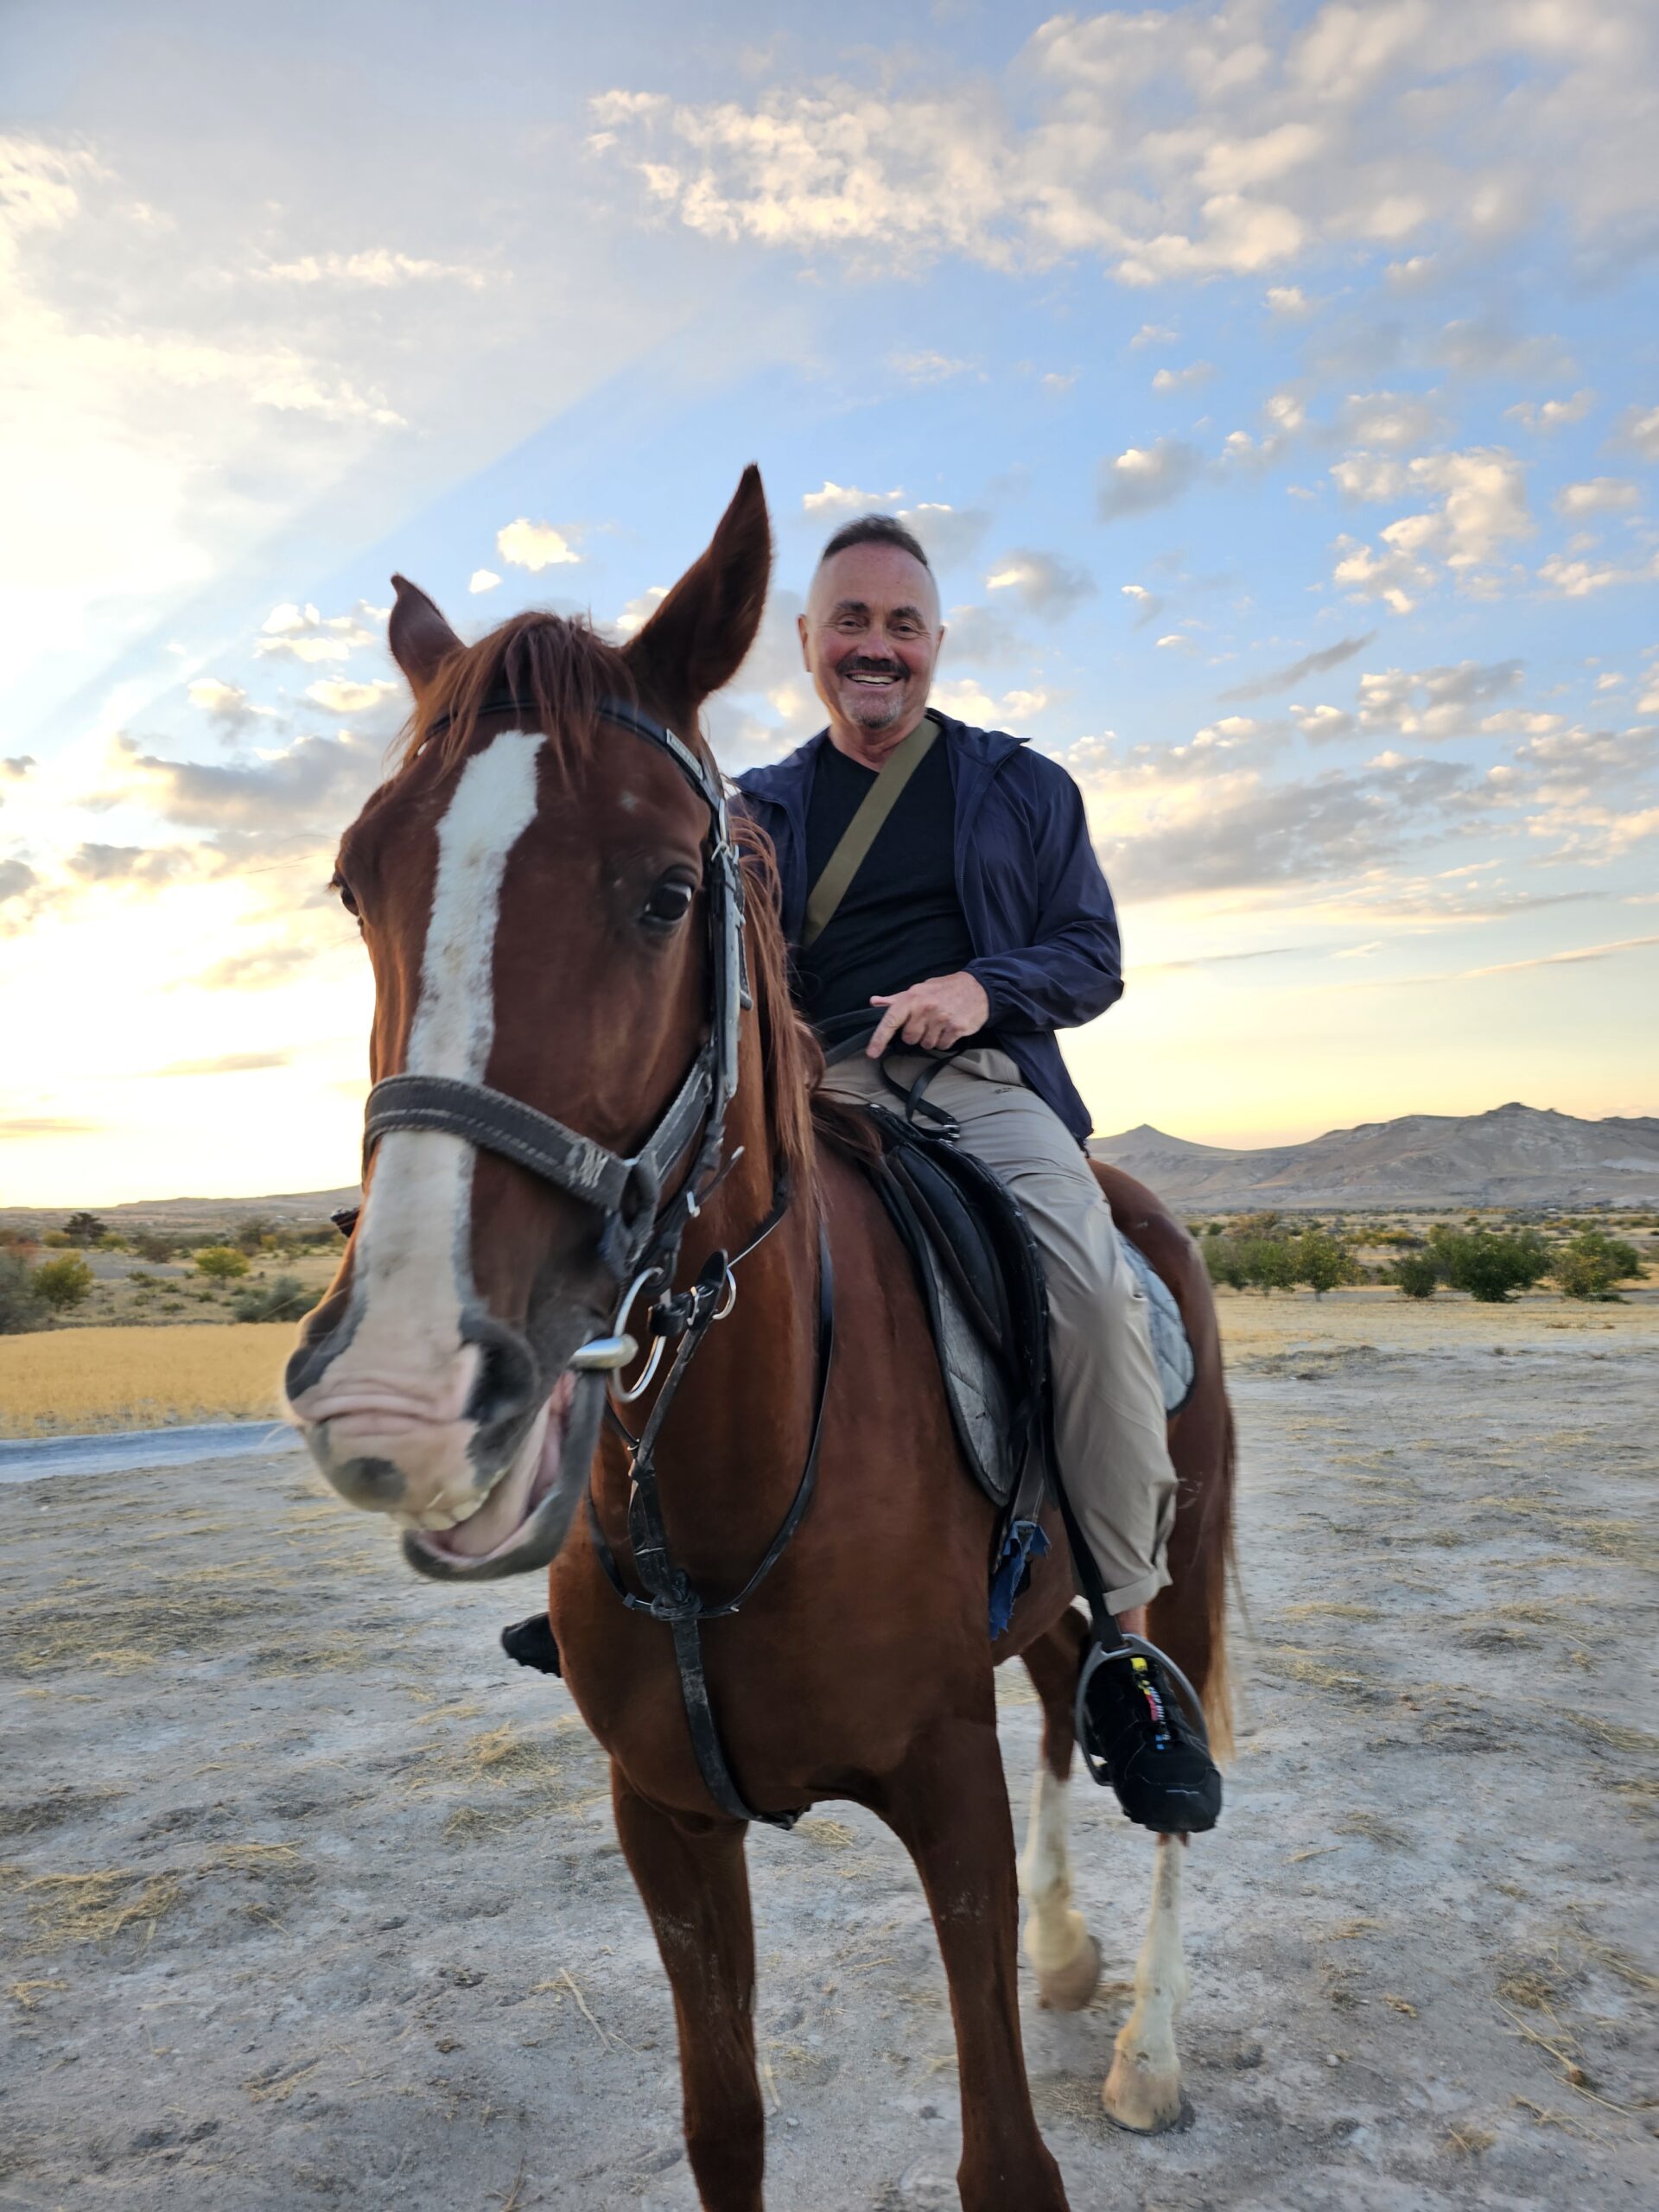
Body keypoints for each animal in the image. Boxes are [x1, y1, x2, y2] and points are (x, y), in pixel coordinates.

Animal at [285, 466, 1235, 2212]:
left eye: (669, 891)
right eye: (355, 881)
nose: (400, 1393)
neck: (731, 1481)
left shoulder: (942, 1789)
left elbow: (1006, 2159)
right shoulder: (665, 1819)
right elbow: (723, 2123)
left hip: (1176, 1559)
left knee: (1159, 1768)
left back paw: (1147, 2045)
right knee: (1061, 1708)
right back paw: (1071, 1960)